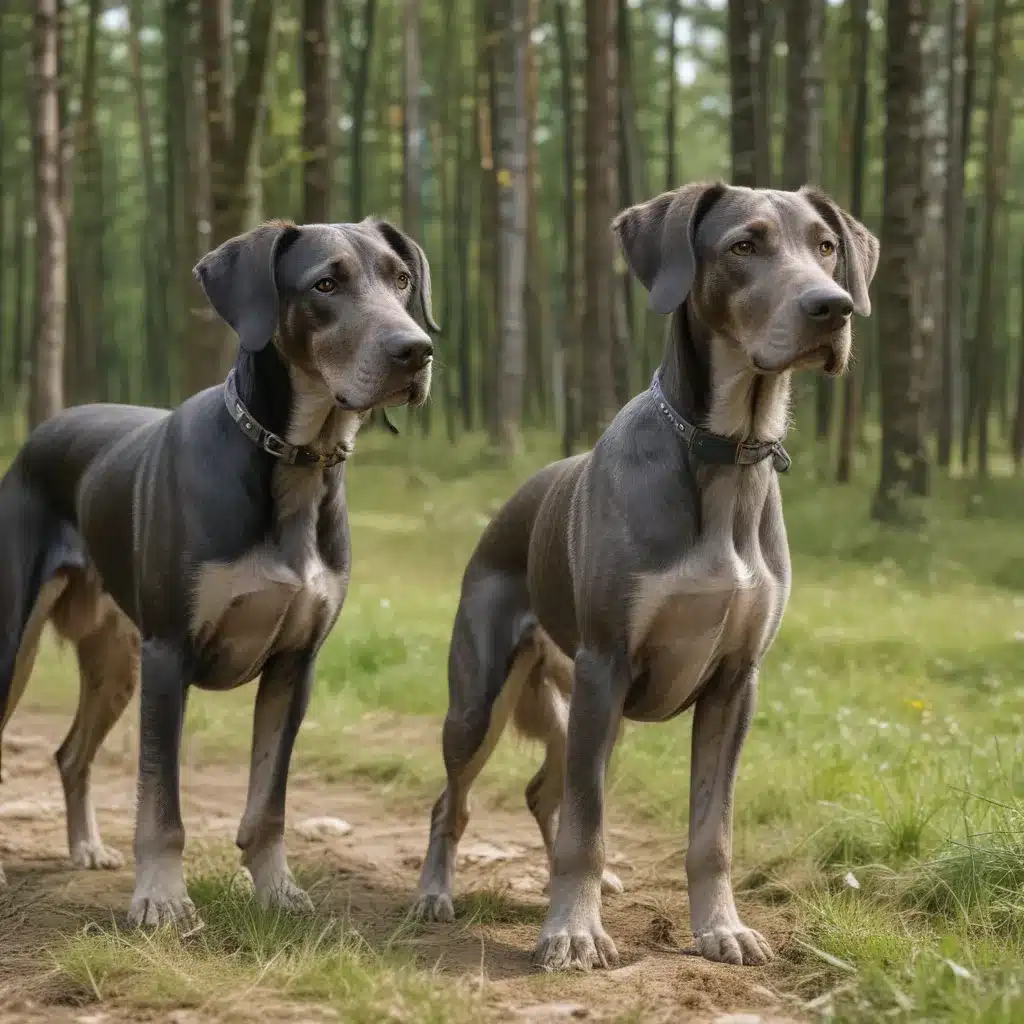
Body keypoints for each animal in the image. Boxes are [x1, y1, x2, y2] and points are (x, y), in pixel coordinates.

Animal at [0, 220, 436, 925]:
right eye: (326, 283)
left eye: (402, 280)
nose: (416, 351)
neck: (294, 462)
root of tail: (41, 433)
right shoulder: (169, 653)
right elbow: (160, 803)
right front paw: (161, 900)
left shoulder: (294, 664)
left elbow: (269, 800)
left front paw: (277, 888)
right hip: (18, 642)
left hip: (117, 660)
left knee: (71, 754)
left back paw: (86, 848)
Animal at [411, 180, 876, 970]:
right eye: (744, 245)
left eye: (825, 245)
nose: (832, 307)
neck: (727, 451)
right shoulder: (607, 661)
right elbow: (588, 824)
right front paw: (572, 932)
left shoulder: (734, 683)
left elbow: (711, 831)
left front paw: (722, 928)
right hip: (486, 696)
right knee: (460, 796)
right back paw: (436, 893)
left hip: (591, 710)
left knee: (545, 789)